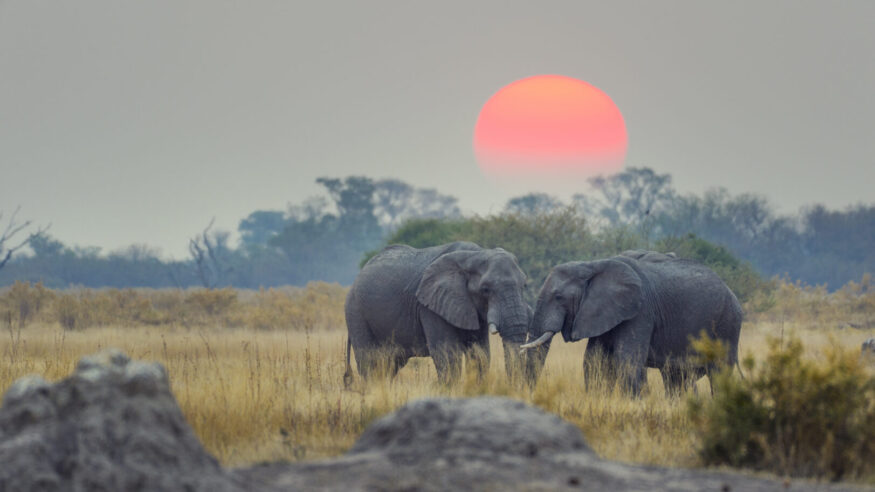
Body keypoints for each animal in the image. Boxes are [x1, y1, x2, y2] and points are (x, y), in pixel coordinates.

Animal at [344, 241, 531, 384]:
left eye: (524, 285)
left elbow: (480, 354)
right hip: (355, 312)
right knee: (369, 361)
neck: (475, 254)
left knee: (390, 364)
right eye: (485, 289)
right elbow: (447, 354)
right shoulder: (430, 306)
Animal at [521, 250, 743, 396]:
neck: (593, 265)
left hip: (727, 324)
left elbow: (627, 359)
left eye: (558, 297)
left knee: (719, 374)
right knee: (676, 378)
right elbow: (594, 360)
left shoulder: (640, 312)